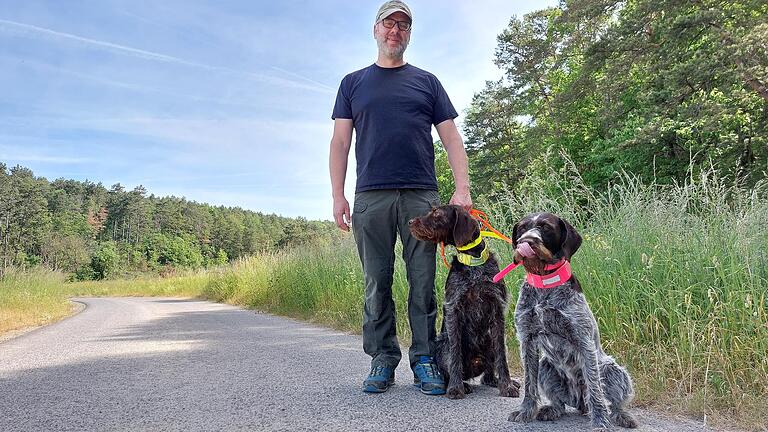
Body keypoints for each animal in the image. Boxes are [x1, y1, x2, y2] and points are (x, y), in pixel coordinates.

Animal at [408, 204, 520, 400]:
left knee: (488, 374)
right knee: (448, 369)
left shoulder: (497, 311)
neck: (473, 262)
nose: (410, 221)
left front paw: (506, 385)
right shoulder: (454, 309)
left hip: (489, 341)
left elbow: (502, 356)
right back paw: (461, 384)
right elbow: (455, 355)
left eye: (436, 213)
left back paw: (496, 380)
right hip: (442, 344)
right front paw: (455, 387)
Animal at [508, 213, 640, 432]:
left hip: (612, 368)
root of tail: (580, 403)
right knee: (560, 403)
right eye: (522, 228)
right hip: (546, 366)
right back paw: (551, 409)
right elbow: (529, 383)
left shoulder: (583, 340)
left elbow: (595, 388)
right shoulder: (527, 339)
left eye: (546, 227)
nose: (526, 241)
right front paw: (525, 411)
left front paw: (600, 421)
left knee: (612, 402)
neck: (545, 286)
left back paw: (621, 415)